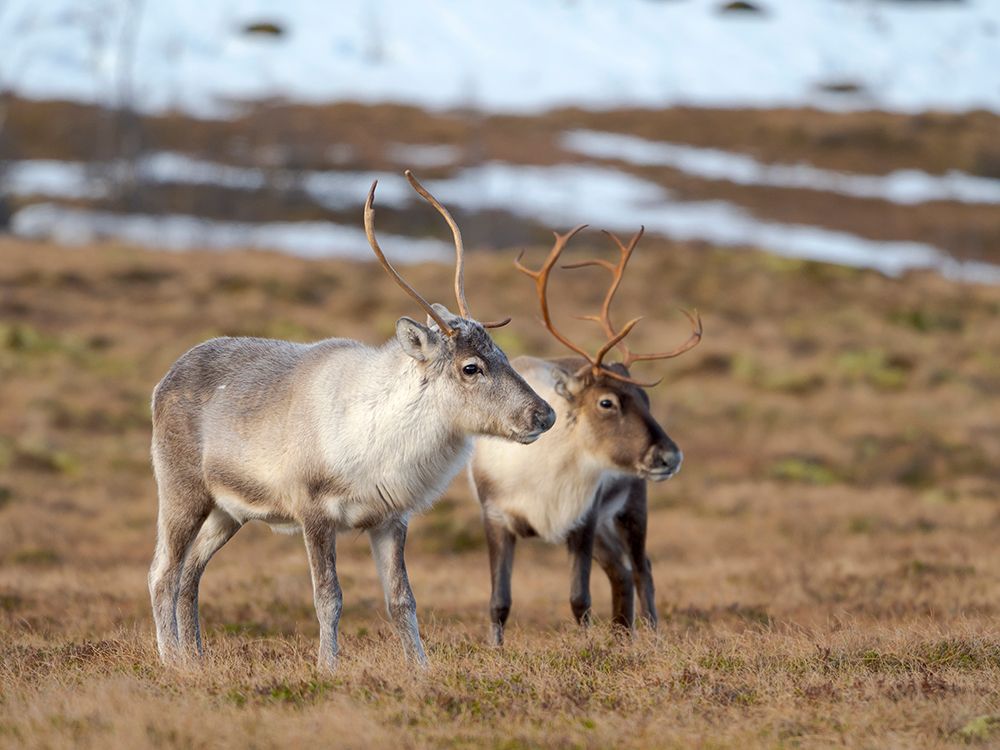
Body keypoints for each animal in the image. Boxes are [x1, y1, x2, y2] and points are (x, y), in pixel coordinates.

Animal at [148, 171, 556, 670]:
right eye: (470, 367)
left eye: (501, 354)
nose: (544, 414)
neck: (379, 436)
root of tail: (162, 382)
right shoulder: (313, 513)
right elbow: (329, 597)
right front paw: (328, 666)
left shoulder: (390, 519)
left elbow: (402, 600)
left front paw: (421, 669)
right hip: (182, 492)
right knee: (164, 572)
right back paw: (172, 661)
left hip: (228, 512)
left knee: (191, 573)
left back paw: (197, 660)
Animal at [469, 225, 701, 645]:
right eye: (606, 402)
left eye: (646, 398)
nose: (670, 456)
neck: (541, 470)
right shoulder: (495, 517)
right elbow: (499, 602)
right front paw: (495, 649)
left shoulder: (583, 520)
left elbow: (580, 599)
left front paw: (588, 646)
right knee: (621, 571)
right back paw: (623, 635)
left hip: (631, 508)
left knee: (641, 567)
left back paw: (650, 635)